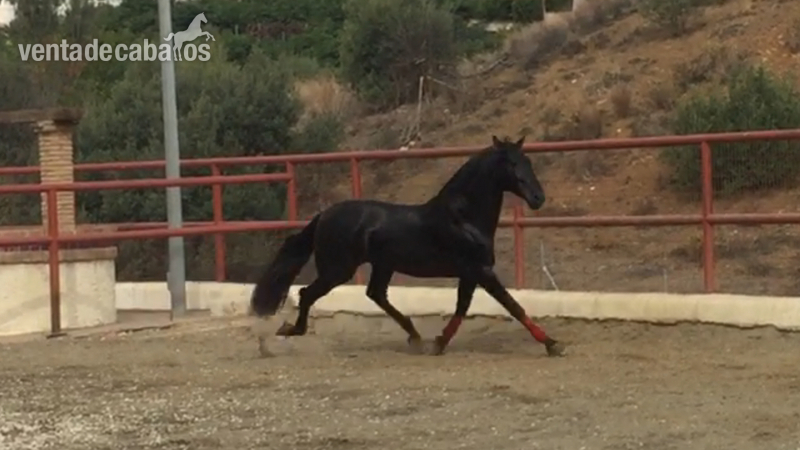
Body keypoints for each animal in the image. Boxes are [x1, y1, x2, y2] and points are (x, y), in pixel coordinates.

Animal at [250, 135, 565, 357]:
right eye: (511, 164)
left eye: (528, 162)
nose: (538, 198)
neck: (464, 218)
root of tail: (324, 215)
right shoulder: (481, 271)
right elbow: (513, 305)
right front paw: (553, 344)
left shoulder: (470, 273)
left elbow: (462, 308)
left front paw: (438, 343)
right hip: (338, 270)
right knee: (308, 293)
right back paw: (288, 330)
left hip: (381, 265)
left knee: (376, 294)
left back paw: (415, 336)